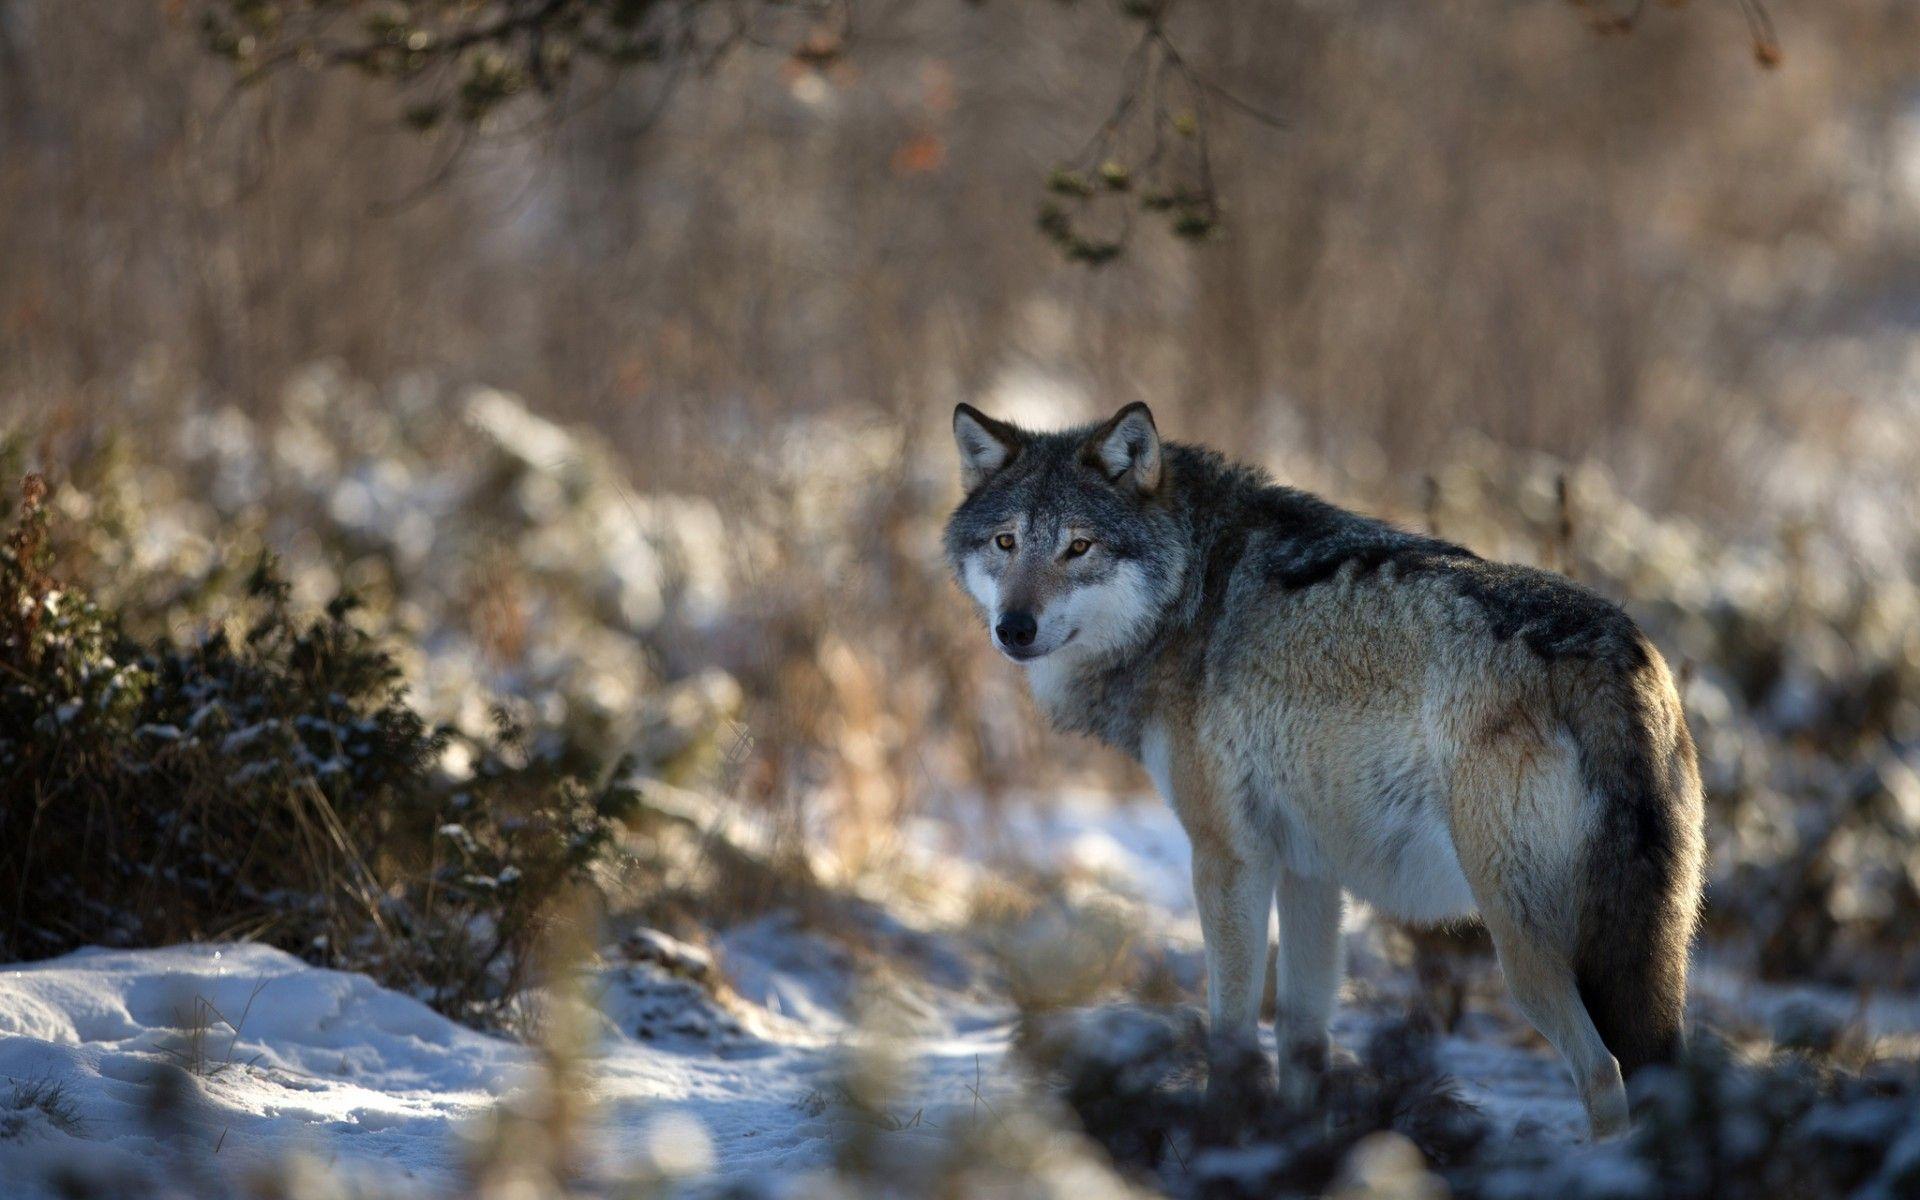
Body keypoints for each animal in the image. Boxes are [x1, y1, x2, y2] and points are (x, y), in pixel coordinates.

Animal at [944, 401, 1704, 1138]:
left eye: (1079, 547)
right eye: (1006, 543)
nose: (1014, 628)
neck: (1192, 587)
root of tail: (1615, 657)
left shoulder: (1227, 859)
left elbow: (1232, 1033)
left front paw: (1222, 1137)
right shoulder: (1309, 870)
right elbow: (1302, 1041)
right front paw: (1297, 1143)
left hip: (1520, 950)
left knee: (1603, 1072)